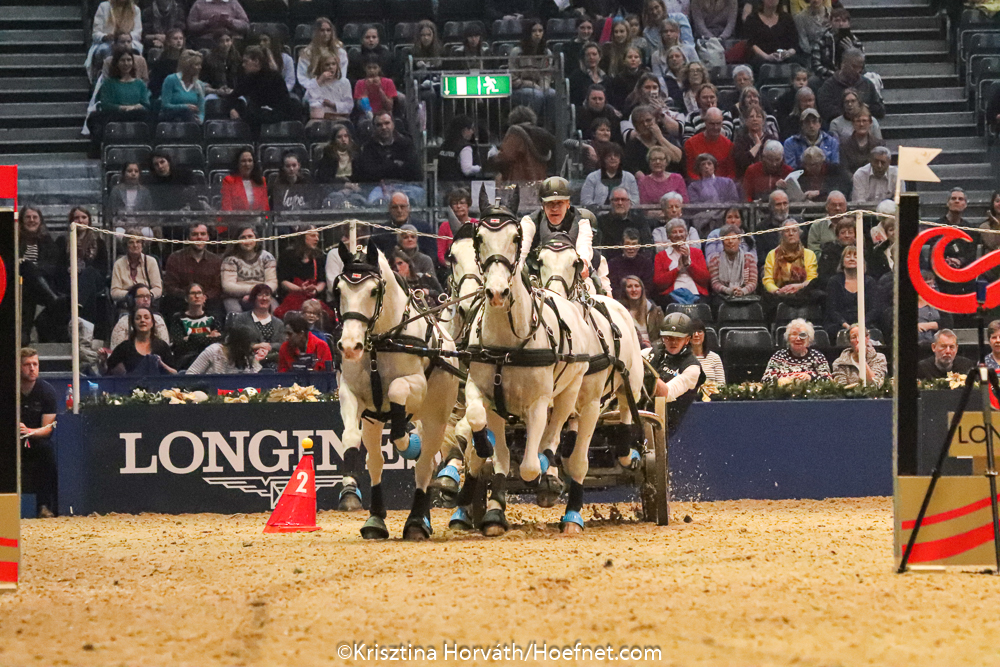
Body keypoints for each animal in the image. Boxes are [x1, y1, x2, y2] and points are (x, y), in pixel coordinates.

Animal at [334, 240, 462, 539]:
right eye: (339, 289)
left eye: (373, 290)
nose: (350, 346)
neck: (381, 342)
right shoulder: (351, 394)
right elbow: (349, 437)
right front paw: (349, 491)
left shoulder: (415, 386)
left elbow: (396, 393)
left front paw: (409, 445)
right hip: (373, 422)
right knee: (377, 461)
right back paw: (376, 520)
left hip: (437, 418)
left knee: (425, 466)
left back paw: (416, 521)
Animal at [463, 191, 614, 535]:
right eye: (479, 238)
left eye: (516, 237)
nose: (496, 292)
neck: (508, 344)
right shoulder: (483, 393)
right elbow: (492, 444)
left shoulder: (538, 403)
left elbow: (531, 466)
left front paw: (546, 476)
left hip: (574, 394)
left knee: (561, 441)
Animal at [536, 233, 646, 469]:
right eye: (540, 261)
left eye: (575, 263)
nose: (554, 293)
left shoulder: (592, 403)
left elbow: (578, 462)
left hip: (631, 382)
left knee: (626, 409)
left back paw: (628, 453)